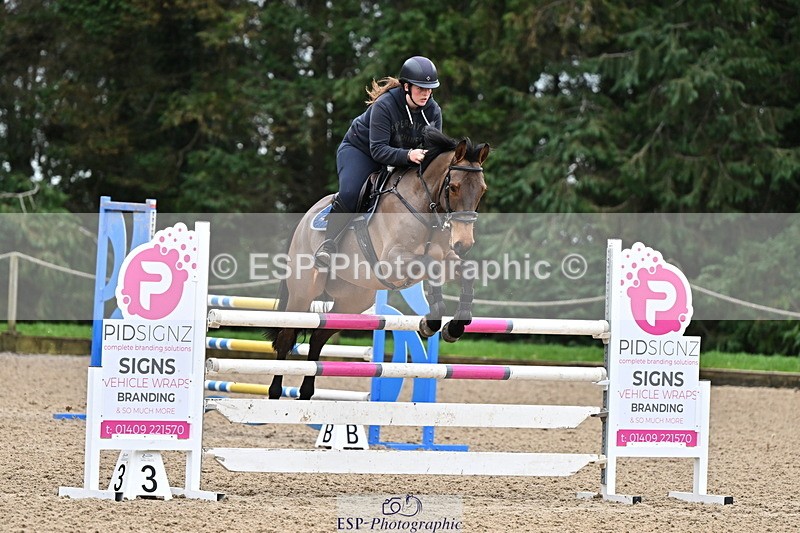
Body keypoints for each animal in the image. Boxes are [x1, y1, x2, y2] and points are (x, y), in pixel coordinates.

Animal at [266, 127, 490, 400]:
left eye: (482, 190)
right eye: (454, 187)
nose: (464, 244)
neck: (425, 206)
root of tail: (305, 217)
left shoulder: (446, 259)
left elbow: (464, 272)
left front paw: (452, 327)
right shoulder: (393, 262)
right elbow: (431, 267)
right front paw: (432, 322)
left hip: (352, 301)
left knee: (318, 336)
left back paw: (306, 393)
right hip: (303, 293)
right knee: (287, 335)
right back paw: (275, 392)